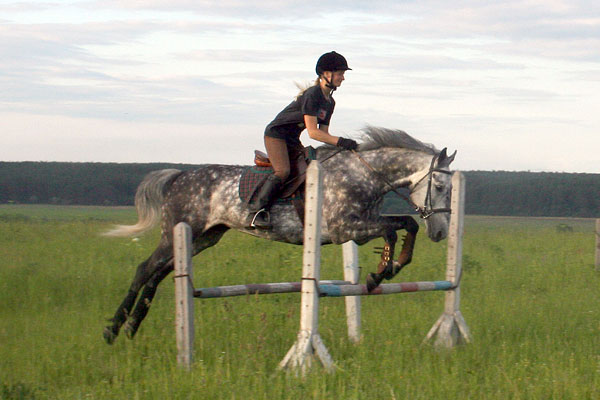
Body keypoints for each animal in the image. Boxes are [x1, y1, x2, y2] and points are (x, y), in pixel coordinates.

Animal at [102, 126, 454, 344]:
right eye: (439, 186)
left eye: (450, 189)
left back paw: (132, 326)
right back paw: (113, 329)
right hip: (178, 233)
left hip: (203, 237)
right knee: (145, 269)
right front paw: (377, 275)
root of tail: (178, 176)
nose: (440, 232)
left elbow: (406, 224)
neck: (362, 174)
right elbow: (393, 230)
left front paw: (393, 266)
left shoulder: (363, 223)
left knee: (160, 273)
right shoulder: (345, 229)